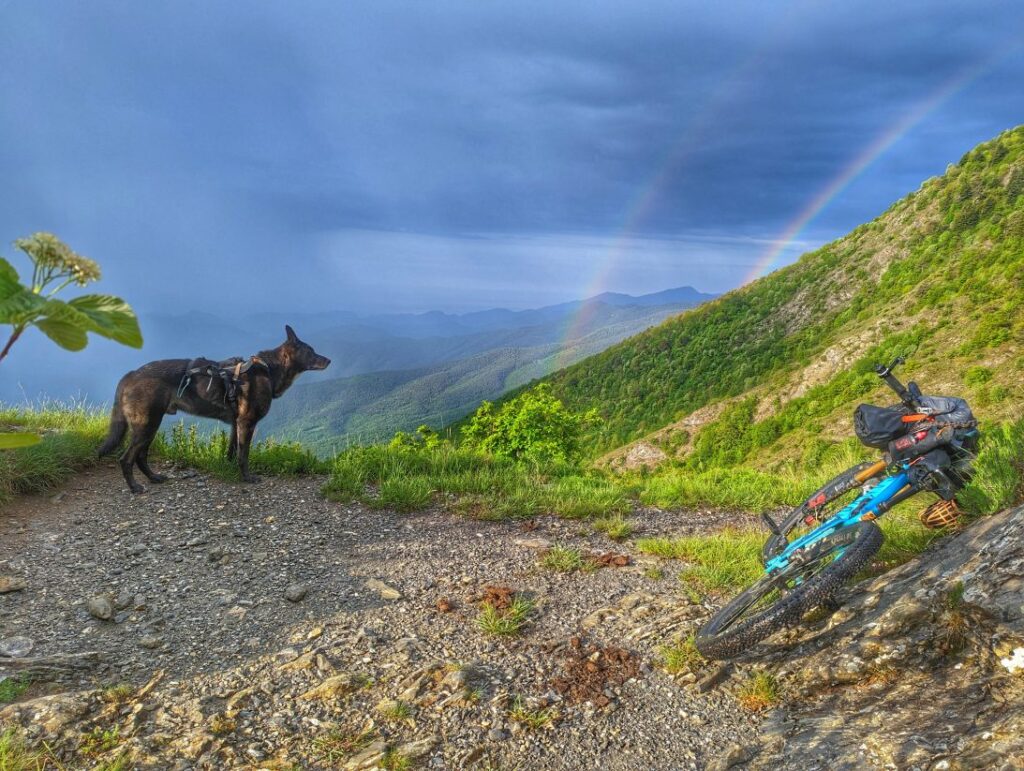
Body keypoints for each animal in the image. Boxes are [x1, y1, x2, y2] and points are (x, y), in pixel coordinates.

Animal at [96, 325, 327, 493]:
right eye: (311, 351)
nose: (329, 360)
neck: (269, 369)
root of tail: (132, 374)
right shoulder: (247, 424)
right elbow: (244, 455)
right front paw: (247, 478)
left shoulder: (236, 424)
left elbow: (232, 452)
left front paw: (231, 471)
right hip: (146, 424)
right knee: (127, 458)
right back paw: (134, 487)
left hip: (151, 425)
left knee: (141, 456)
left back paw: (154, 477)